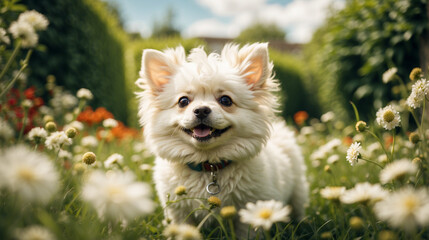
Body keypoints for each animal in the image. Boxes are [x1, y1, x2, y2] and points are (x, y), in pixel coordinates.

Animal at [137, 42, 308, 236]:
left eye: (226, 100)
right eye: (183, 101)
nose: (201, 110)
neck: (209, 166)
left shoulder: (251, 210)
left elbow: (247, 233)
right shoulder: (178, 211)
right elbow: (182, 228)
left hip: (298, 191)